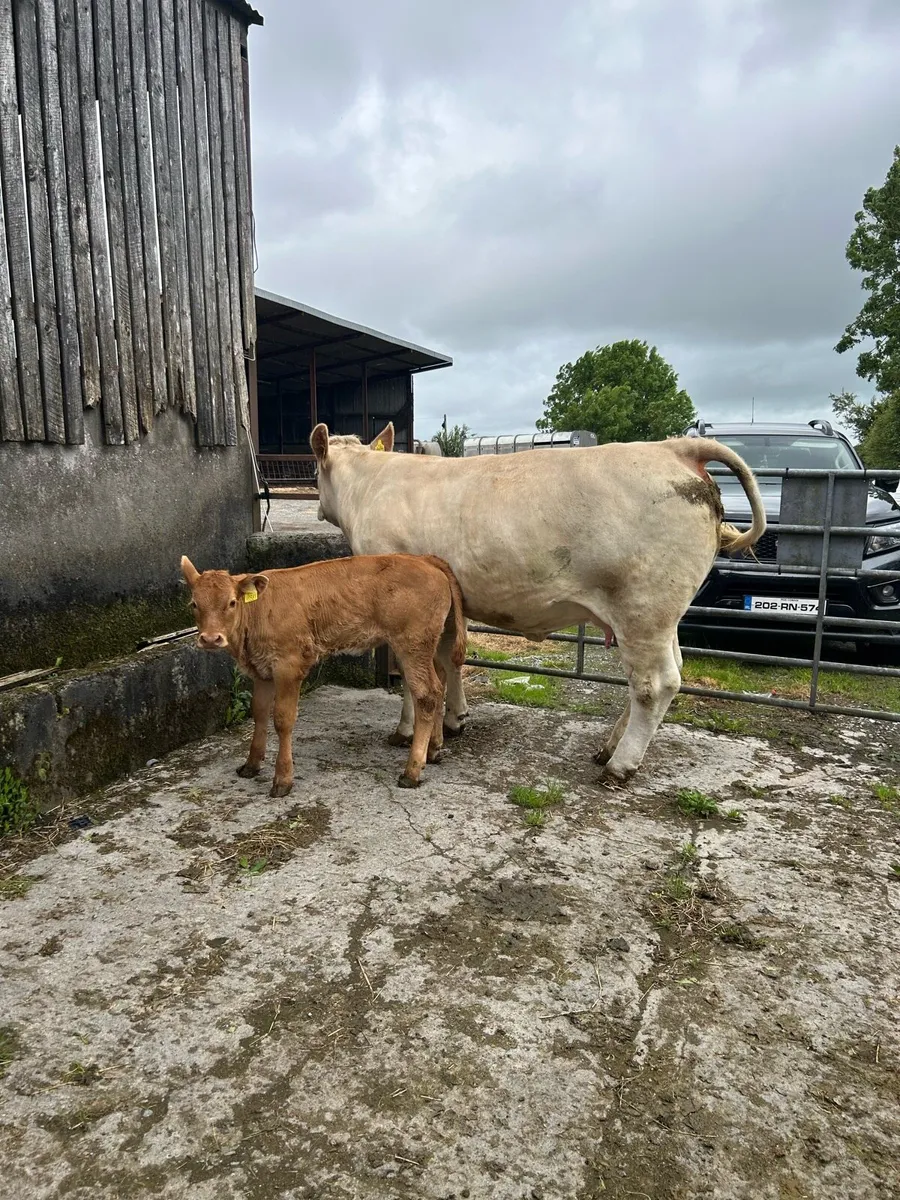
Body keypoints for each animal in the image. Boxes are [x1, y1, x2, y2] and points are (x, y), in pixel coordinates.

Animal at [180, 553, 466, 796]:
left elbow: (282, 719)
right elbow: (259, 713)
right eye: (194, 604)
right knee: (440, 681)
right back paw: (433, 750)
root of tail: (424, 559)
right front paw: (251, 764)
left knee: (427, 694)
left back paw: (412, 771)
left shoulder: (289, 666)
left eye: (231, 602)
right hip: (429, 644)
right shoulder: (261, 670)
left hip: (412, 643)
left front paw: (282, 779)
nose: (210, 638)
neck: (258, 613)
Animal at [310, 422, 766, 785]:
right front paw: (454, 719)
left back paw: (618, 766)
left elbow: (413, 675)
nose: (316, 507)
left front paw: (406, 732)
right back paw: (609, 746)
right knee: (670, 672)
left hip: (642, 607)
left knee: (654, 684)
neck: (369, 485)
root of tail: (673, 448)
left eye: (316, 471)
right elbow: (451, 659)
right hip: (663, 615)